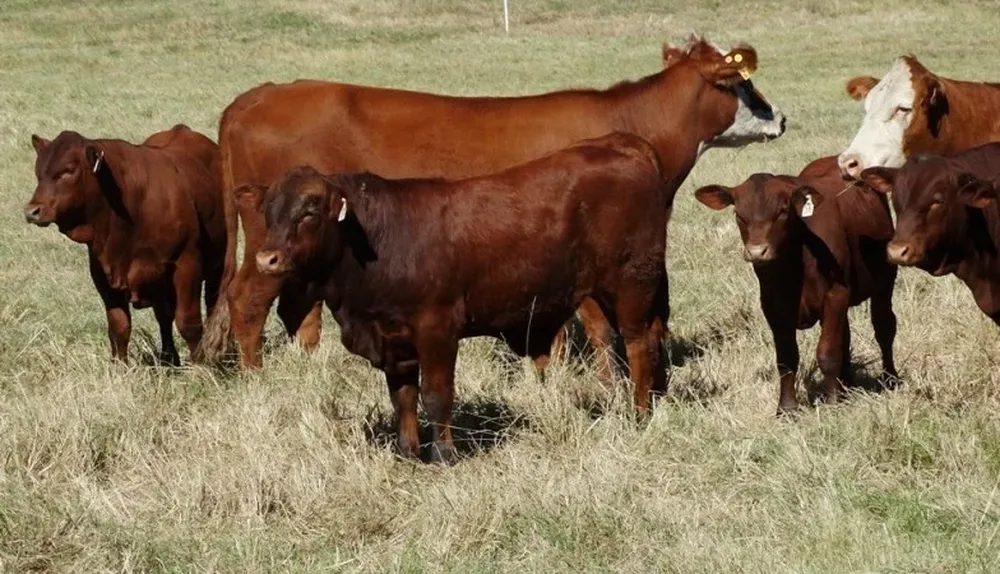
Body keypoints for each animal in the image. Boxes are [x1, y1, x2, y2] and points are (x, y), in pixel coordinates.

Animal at [23, 125, 226, 365]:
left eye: (68, 170)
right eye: (38, 172)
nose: (32, 211)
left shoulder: (186, 265)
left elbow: (189, 323)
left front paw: (201, 366)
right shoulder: (102, 273)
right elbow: (119, 326)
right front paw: (120, 367)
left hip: (218, 264)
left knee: (212, 305)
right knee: (163, 316)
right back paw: (169, 358)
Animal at [198, 34, 788, 370]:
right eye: (742, 84)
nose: (781, 117)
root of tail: (256, 95)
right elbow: (598, 329)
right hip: (269, 244)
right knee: (247, 298)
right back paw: (256, 377)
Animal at [242, 133, 669, 463]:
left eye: (310, 212)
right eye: (269, 212)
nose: (267, 259)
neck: (382, 237)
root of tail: (624, 146)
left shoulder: (437, 331)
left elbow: (436, 395)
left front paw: (443, 455)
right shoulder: (394, 341)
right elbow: (403, 398)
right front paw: (407, 452)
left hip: (631, 286)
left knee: (638, 344)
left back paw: (639, 413)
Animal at [695, 156, 898, 415]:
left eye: (782, 211)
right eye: (739, 214)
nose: (757, 252)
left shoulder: (835, 293)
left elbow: (828, 351)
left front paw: (832, 401)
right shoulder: (772, 305)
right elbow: (786, 357)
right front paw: (787, 408)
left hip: (885, 281)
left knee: (884, 327)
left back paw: (890, 378)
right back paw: (846, 384)